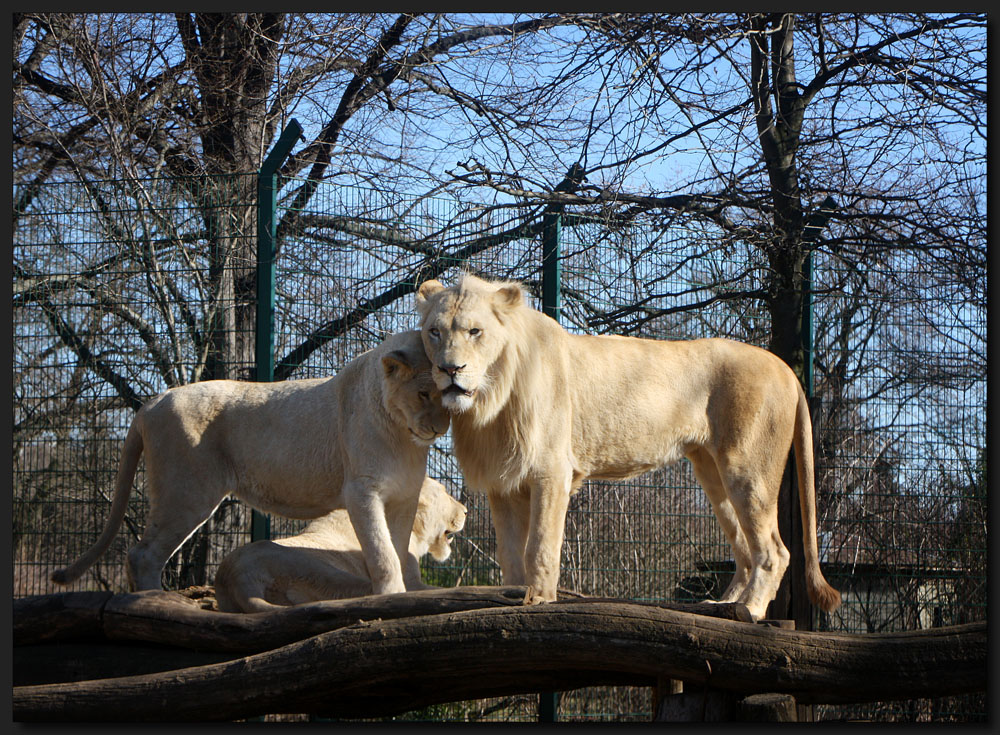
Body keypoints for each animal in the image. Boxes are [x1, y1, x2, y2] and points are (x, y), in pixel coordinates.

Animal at [50, 330, 450, 596]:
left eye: (453, 393)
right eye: (424, 393)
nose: (441, 427)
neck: (403, 437)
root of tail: (152, 402)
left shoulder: (403, 497)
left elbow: (401, 549)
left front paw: (411, 591)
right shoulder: (361, 491)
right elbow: (382, 551)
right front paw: (392, 596)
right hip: (187, 492)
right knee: (142, 554)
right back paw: (154, 599)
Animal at [416, 274, 844, 620]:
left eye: (475, 331)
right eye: (435, 332)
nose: (450, 369)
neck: (490, 398)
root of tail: (787, 369)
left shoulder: (552, 470)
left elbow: (540, 546)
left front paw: (538, 600)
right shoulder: (502, 481)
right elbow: (509, 552)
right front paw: (513, 596)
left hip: (747, 469)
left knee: (774, 552)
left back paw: (751, 610)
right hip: (713, 473)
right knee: (744, 549)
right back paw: (724, 607)